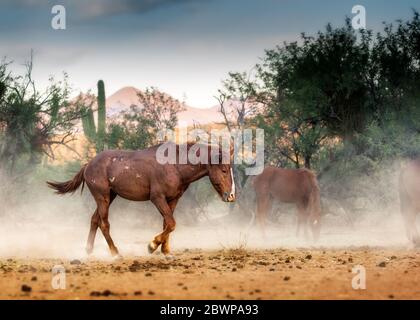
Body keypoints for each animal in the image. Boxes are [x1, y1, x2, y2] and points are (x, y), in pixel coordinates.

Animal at [48, 142, 236, 258]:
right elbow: (171, 223)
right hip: (103, 198)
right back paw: (115, 253)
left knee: (94, 220)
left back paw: (89, 250)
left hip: (109, 197)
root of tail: (88, 165)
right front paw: (152, 246)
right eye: (224, 170)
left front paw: (166, 251)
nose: (231, 196)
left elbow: (167, 224)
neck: (174, 165)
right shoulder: (157, 198)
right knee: (104, 224)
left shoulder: (173, 199)